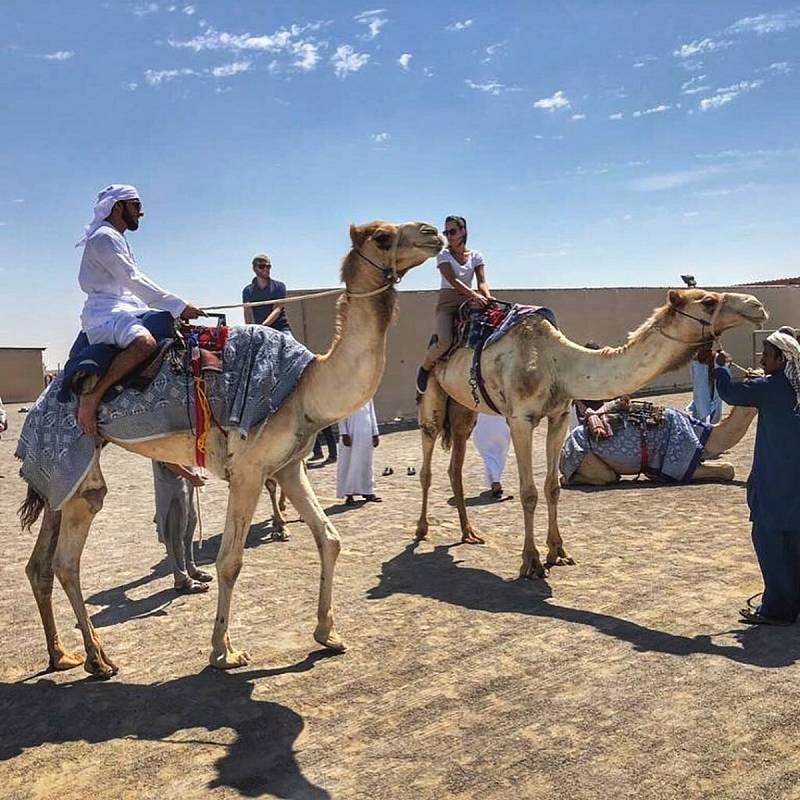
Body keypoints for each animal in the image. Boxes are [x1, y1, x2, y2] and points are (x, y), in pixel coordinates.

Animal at [20, 219, 444, 676]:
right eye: (382, 237)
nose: (433, 232)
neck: (307, 384)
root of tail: (42, 402)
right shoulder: (248, 470)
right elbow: (230, 561)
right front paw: (224, 652)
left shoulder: (287, 466)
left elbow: (329, 538)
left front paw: (328, 634)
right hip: (77, 454)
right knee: (67, 560)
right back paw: (99, 659)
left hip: (62, 476)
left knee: (40, 563)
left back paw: (62, 655)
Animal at [416, 290, 764, 580]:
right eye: (708, 301)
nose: (756, 306)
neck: (556, 363)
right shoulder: (520, 420)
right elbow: (529, 492)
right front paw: (531, 562)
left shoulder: (557, 416)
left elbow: (552, 487)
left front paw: (558, 552)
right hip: (433, 395)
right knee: (427, 462)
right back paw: (421, 530)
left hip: (463, 407)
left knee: (456, 464)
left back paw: (468, 533)